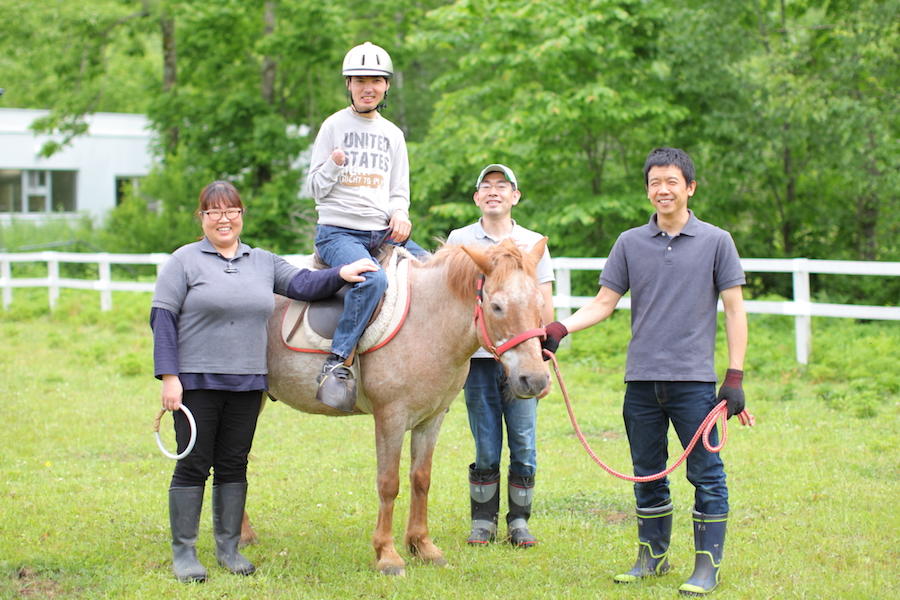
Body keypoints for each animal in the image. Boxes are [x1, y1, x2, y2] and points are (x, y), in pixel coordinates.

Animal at [256, 237, 552, 576]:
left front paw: (422, 546)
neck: (426, 324)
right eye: (497, 306)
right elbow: (388, 483)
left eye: (539, 303)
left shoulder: (432, 419)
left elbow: (421, 479)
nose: (535, 379)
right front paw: (387, 555)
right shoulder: (391, 418)